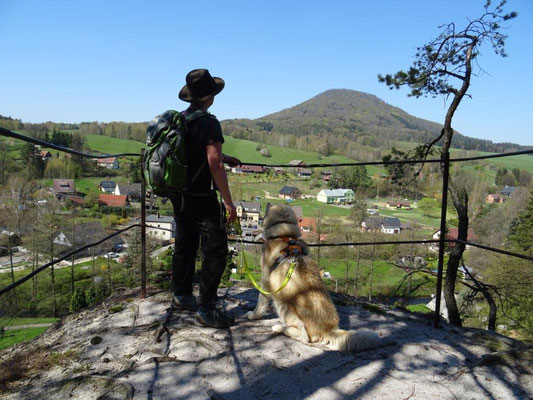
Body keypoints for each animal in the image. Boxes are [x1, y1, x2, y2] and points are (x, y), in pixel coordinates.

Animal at [245, 205, 386, 352]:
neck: (286, 234)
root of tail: (328, 329)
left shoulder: (266, 281)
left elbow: (260, 303)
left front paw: (253, 315)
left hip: (283, 302)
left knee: (303, 335)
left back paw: (280, 328)